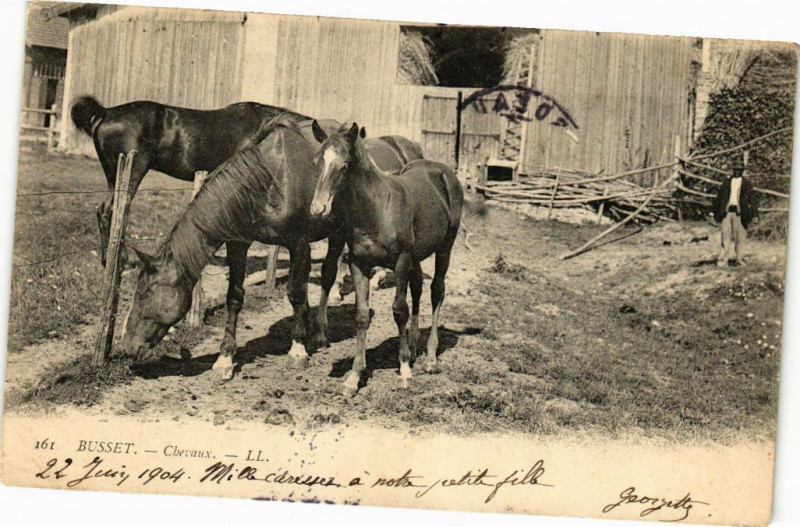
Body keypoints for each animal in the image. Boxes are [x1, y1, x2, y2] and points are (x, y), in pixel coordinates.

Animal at [70, 96, 308, 266]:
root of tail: (105, 112)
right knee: (113, 211)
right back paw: (120, 261)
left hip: (114, 178)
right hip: (132, 173)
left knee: (107, 211)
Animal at [120, 116, 424, 381]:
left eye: (145, 293)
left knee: (327, 275)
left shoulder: (298, 243)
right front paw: (225, 358)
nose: (127, 346)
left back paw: (320, 332)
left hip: (339, 234)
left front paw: (298, 348)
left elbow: (295, 292)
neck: (268, 180)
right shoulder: (238, 244)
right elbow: (234, 297)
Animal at [309, 121, 464, 396]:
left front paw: (404, 371)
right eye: (317, 161)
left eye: (344, 165)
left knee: (437, 290)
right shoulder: (359, 264)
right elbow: (361, 315)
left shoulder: (401, 262)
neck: (377, 209)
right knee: (418, 287)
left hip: (445, 247)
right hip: (417, 256)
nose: (318, 209)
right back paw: (414, 346)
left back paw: (430, 357)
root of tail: (444, 171)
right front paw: (353, 377)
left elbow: (399, 310)